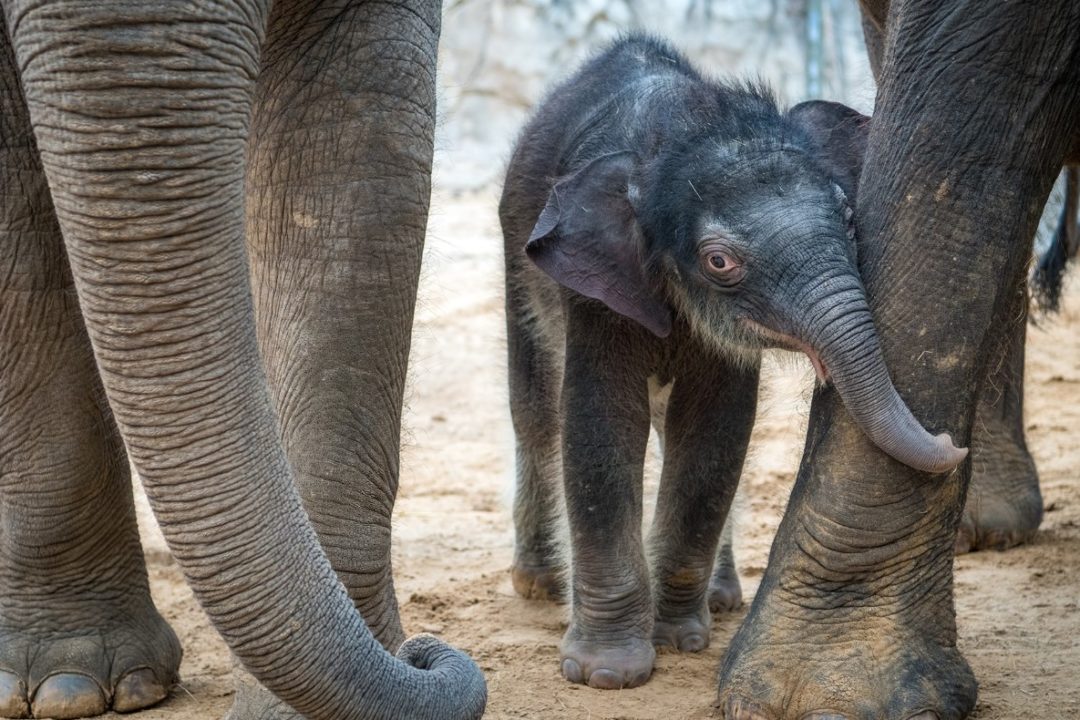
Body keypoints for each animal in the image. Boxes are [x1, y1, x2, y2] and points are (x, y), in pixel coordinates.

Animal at [496, 35, 963, 690]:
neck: (682, 130)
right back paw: (537, 584)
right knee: (536, 413)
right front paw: (606, 674)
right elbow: (599, 427)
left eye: (850, 220)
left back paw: (720, 600)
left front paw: (680, 639)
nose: (952, 443)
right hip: (517, 264)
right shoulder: (593, 290)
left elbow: (714, 436)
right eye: (719, 262)